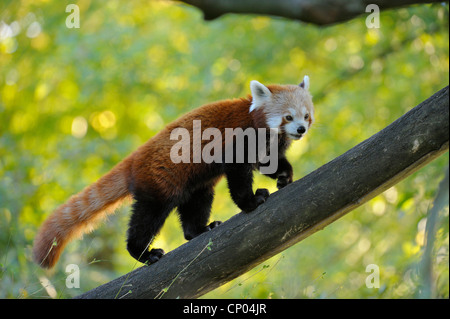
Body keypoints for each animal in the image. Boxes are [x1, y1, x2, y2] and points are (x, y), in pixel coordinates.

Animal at [32, 77, 312, 268]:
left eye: (306, 115)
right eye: (288, 117)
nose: (301, 129)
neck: (261, 126)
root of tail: (134, 159)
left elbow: (269, 163)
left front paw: (284, 176)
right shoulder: (237, 139)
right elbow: (238, 176)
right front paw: (251, 201)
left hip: (193, 183)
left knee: (197, 203)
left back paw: (200, 229)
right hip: (160, 182)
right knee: (148, 217)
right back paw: (144, 253)